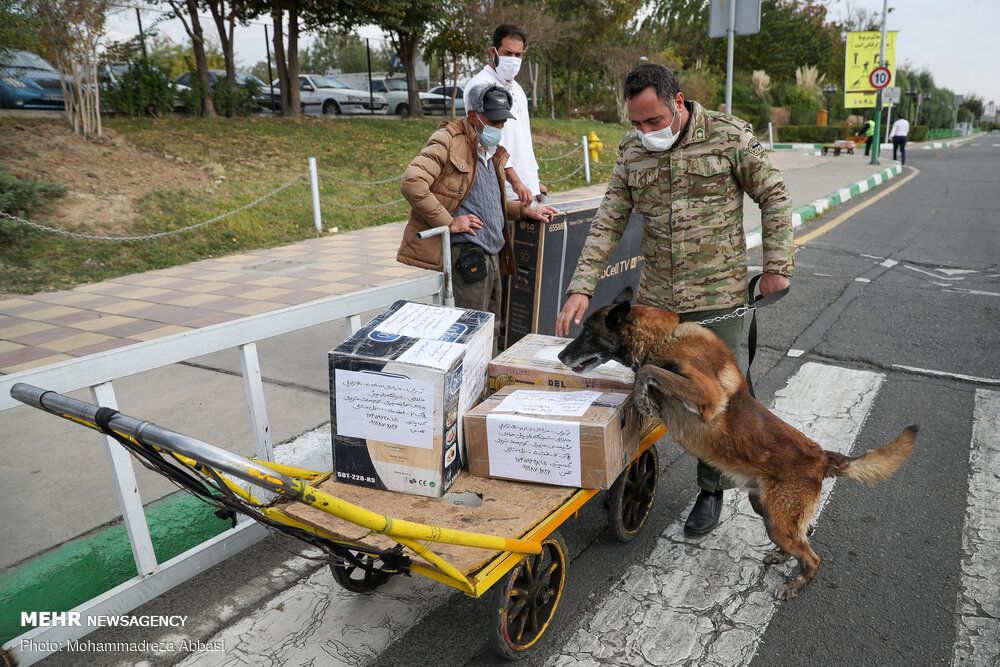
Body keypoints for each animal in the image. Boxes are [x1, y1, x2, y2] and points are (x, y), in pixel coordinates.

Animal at [560, 288, 916, 600]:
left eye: (588, 332)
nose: (561, 355)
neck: (666, 337)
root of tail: (822, 456)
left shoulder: (705, 395)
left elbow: (648, 369)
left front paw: (642, 396)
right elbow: (647, 373)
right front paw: (643, 396)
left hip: (778, 520)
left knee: (813, 558)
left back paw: (795, 584)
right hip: (766, 509)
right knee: (806, 533)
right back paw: (782, 557)